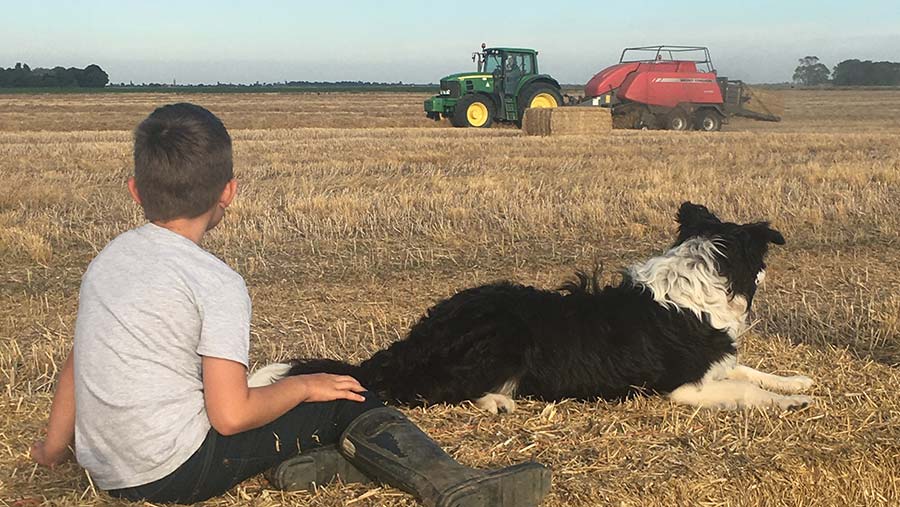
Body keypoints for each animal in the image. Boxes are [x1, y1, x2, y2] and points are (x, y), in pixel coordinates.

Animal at [251, 202, 816, 412]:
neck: (697, 281)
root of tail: (420, 335)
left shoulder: (717, 362)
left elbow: (751, 369)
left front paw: (796, 382)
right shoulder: (683, 388)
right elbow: (745, 387)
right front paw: (788, 403)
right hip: (501, 338)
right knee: (418, 393)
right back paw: (495, 401)